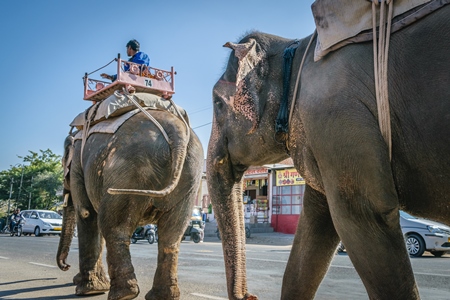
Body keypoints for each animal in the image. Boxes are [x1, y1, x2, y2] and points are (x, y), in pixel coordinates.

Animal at [57, 96, 203, 300]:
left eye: (63, 166)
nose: (65, 266)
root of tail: (177, 131)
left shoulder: (79, 164)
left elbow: (86, 214)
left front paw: (88, 290)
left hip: (129, 170)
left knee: (113, 226)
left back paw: (123, 295)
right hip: (189, 175)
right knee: (172, 234)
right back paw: (159, 296)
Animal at [207, 2, 450, 300]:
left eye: (217, 104)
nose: (250, 295)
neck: (294, 51)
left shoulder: (335, 119)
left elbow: (364, 214)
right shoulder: (325, 139)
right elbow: (315, 226)